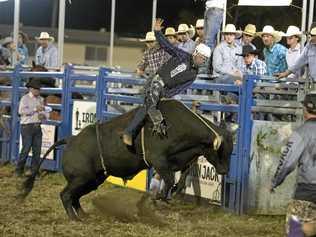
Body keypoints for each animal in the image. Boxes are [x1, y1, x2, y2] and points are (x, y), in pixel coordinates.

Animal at [20, 99, 232, 219]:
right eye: (221, 151)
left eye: (231, 150)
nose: (225, 171)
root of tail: (71, 139)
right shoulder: (158, 160)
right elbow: (169, 178)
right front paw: (158, 197)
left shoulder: (182, 158)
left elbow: (181, 177)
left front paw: (168, 195)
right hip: (81, 178)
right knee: (66, 195)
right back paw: (74, 218)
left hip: (93, 180)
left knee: (75, 197)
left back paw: (83, 215)